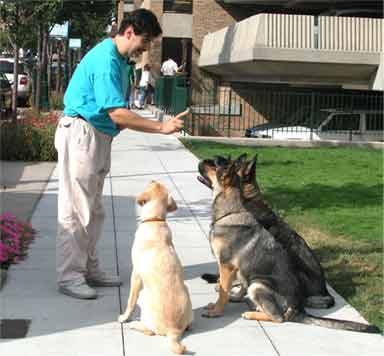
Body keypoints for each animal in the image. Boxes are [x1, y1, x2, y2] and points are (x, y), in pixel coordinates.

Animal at [118, 182, 192, 354]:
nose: (152, 180)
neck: (155, 220)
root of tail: (173, 330)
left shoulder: (135, 274)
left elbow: (130, 301)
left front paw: (125, 317)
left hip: (143, 296)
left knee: (150, 331)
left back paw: (134, 324)